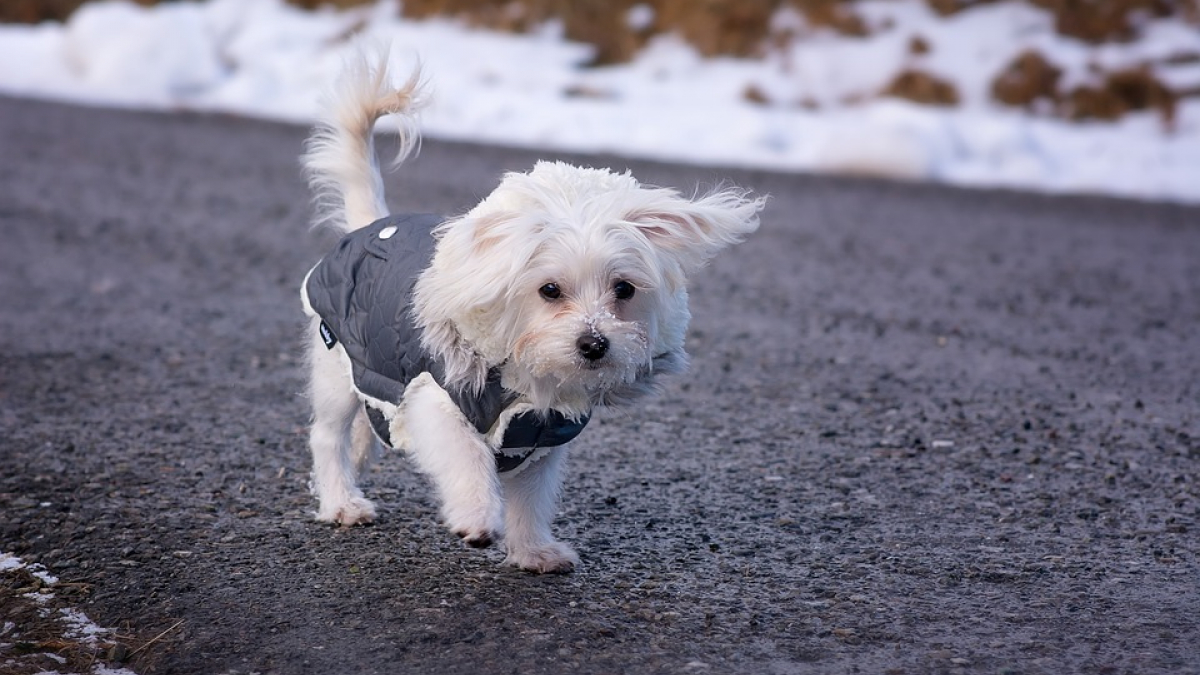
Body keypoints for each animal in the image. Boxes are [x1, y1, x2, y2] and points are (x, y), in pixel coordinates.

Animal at [302, 49, 768, 569]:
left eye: (624, 289)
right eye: (549, 290)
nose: (594, 343)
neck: (528, 382)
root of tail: (370, 226)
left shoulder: (541, 436)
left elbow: (530, 499)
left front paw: (532, 551)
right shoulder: (437, 400)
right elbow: (468, 458)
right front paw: (477, 516)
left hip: (369, 372)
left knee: (367, 424)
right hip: (334, 363)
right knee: (327, 436)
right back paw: (341, 501)